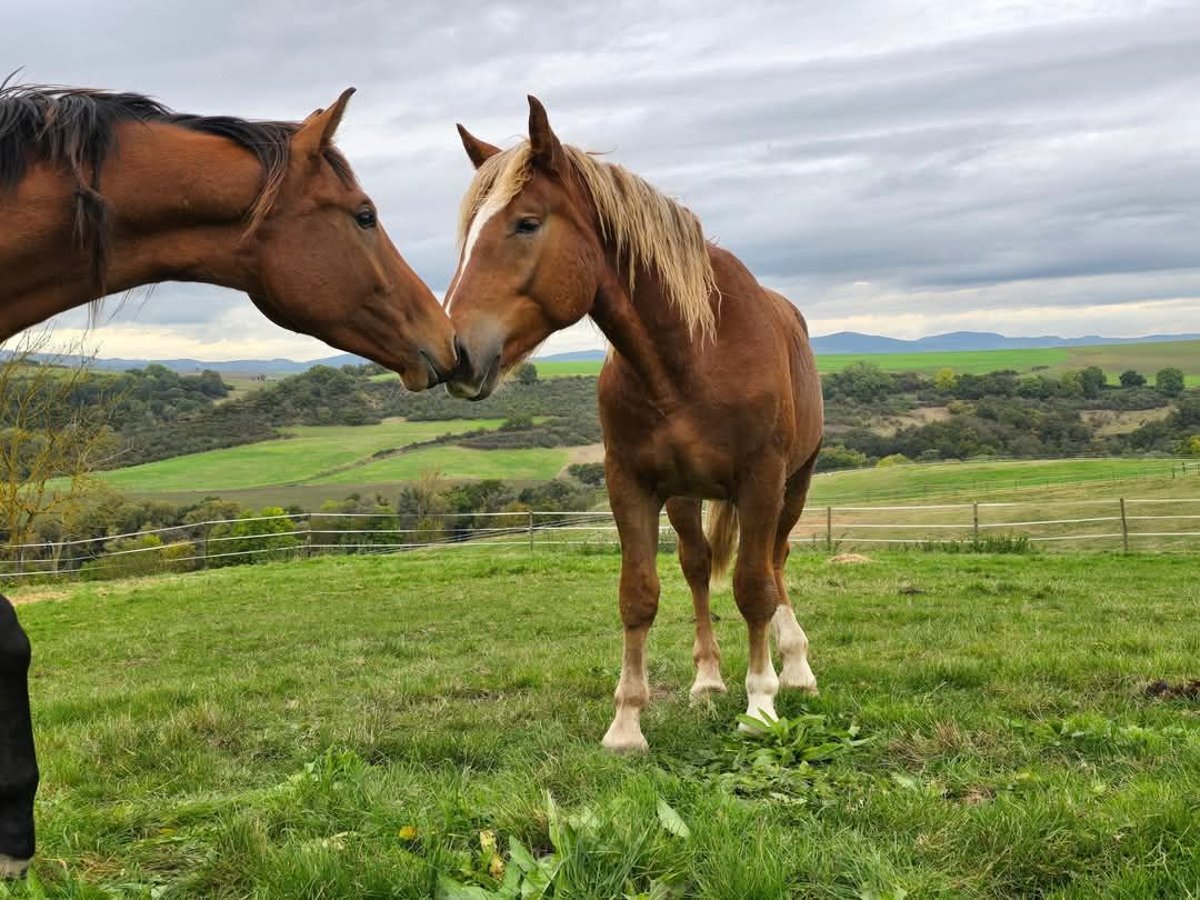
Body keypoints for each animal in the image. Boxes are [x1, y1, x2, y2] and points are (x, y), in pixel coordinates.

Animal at [448, 97, 825, 753]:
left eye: (526, 223)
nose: (456, 353)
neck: (693, 352)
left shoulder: (761, 480)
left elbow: (754, 588)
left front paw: (761, 703)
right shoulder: (631, 483)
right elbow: (639, 595)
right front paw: (626, 722)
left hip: (794, 485)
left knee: (775, 565)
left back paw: (795, 667)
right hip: (685, 494)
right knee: (698, 567)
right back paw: (708, 681)